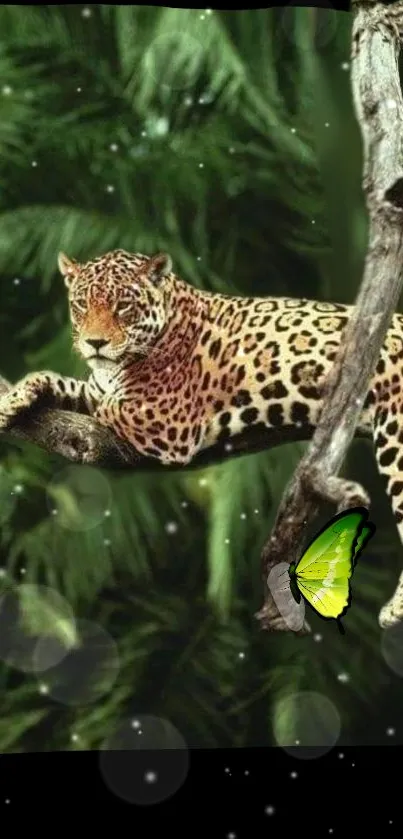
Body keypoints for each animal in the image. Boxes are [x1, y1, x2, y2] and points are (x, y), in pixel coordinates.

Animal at [2, 246, 403, 628]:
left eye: (123, 307)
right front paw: (12, 400)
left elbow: (108, 405)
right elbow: (55, 380)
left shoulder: (166, 419)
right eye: (82, 304)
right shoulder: (98, 387)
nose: (94, 343)